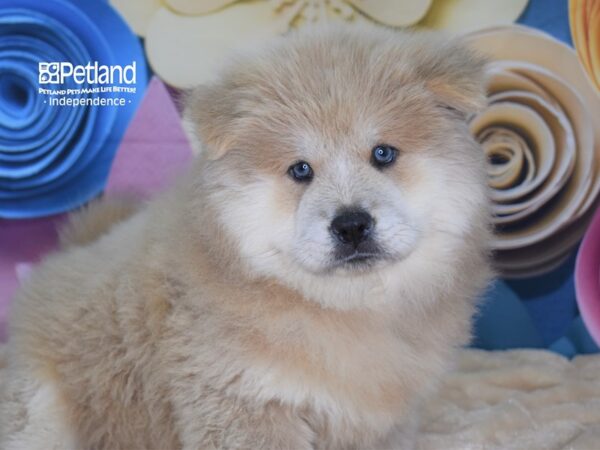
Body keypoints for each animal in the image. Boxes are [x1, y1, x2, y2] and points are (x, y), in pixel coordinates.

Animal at [0, 25, 492, 450]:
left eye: (383, 154)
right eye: (301, 170)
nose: (351, 224)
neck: (343, 310)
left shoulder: (383, 419)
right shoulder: (247, 402)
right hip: (43, 410)